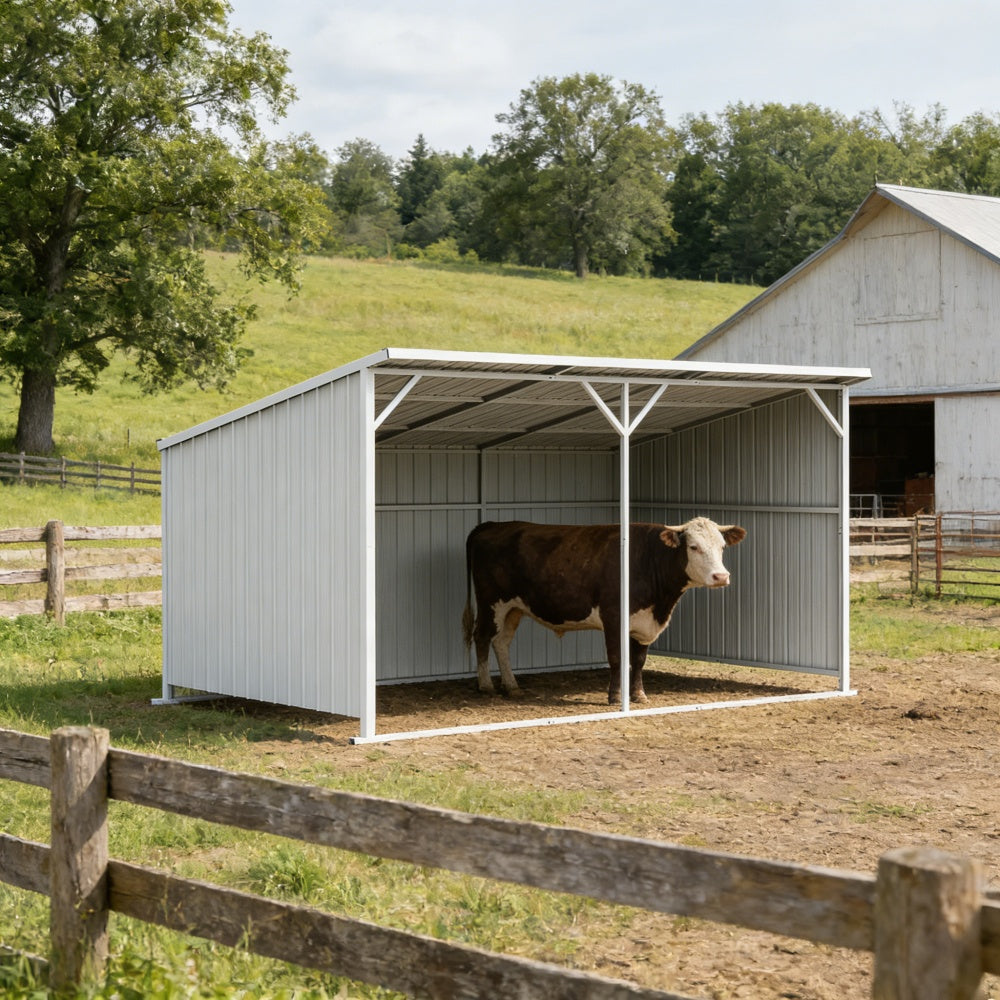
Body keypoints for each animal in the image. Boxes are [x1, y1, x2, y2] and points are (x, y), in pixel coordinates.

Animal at [462, 517, 746, 704]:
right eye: (693, 547)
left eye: (722, 547)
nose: (721, 576)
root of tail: (491, 525)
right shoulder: (614, 617)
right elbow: (618, 659)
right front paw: (615, 696)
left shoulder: (644, 622)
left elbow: (638, 660)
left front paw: (639, 695)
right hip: (491, 602)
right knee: (482, 636)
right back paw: (486, 685)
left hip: (514, 608)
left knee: (502, 641)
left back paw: (512, 686)